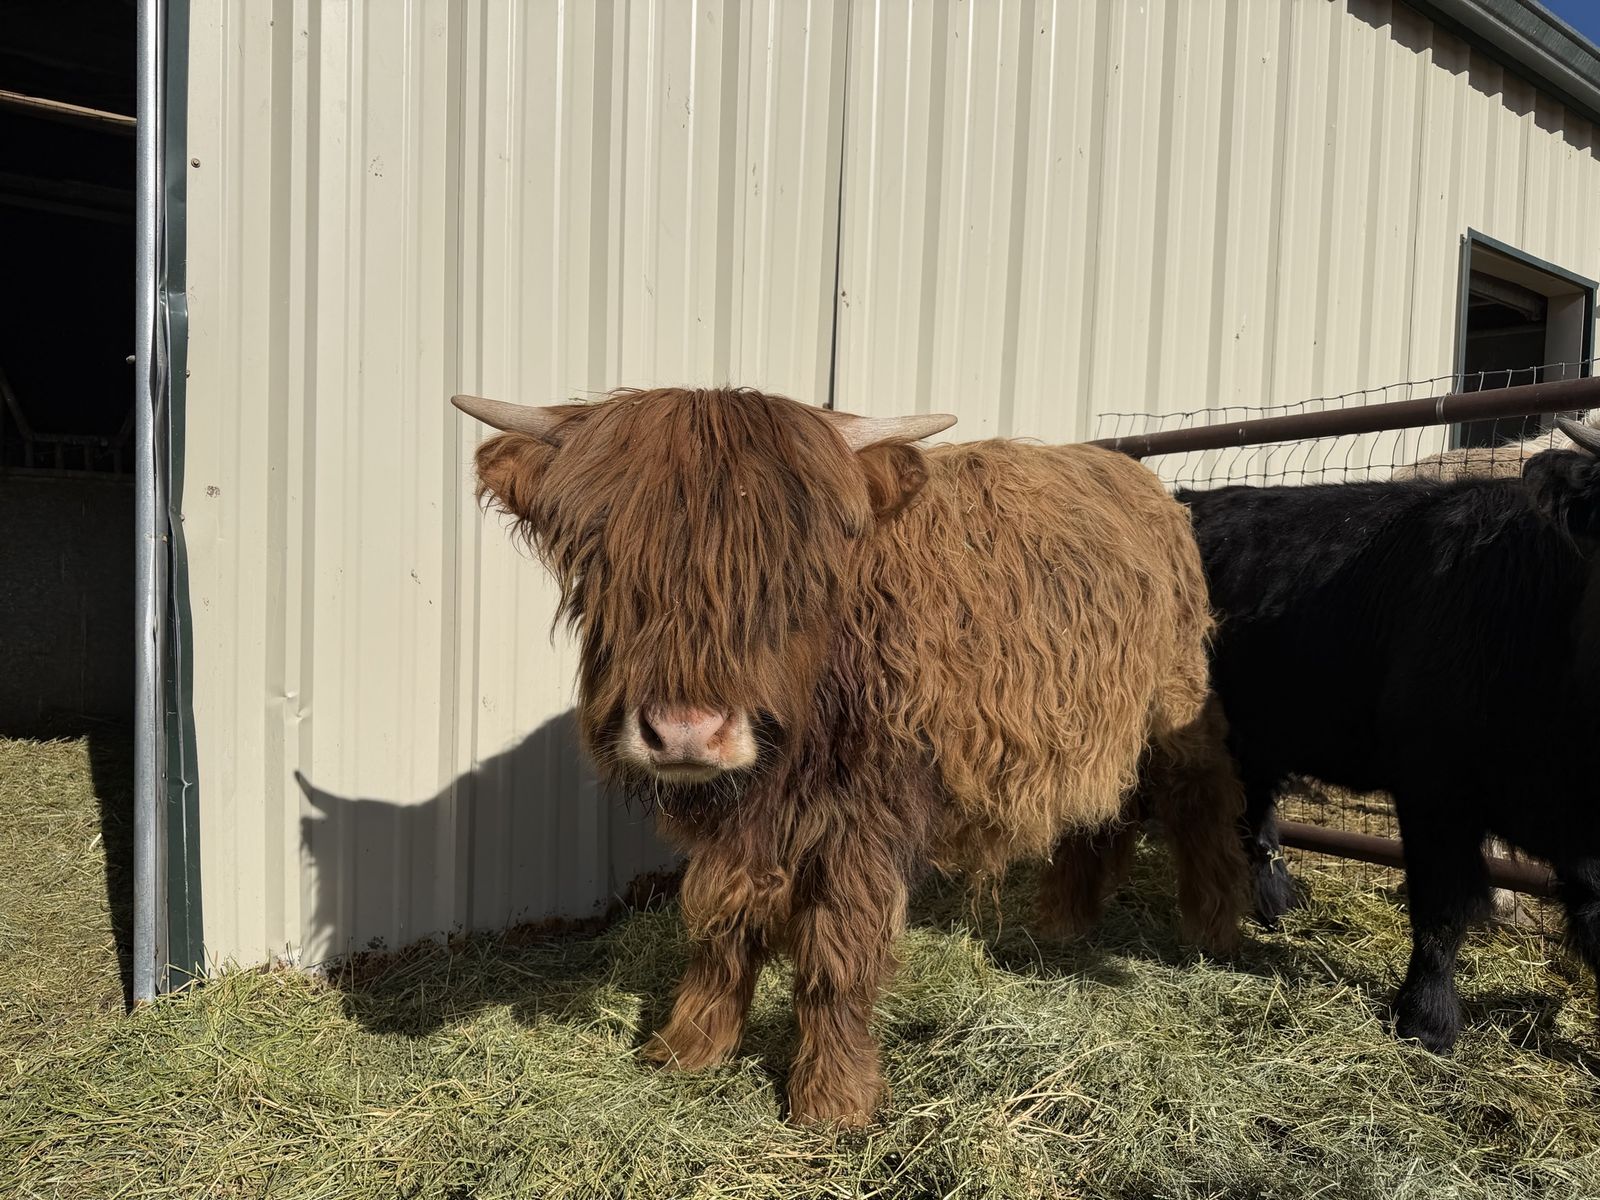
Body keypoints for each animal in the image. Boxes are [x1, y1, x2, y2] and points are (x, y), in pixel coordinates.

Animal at [455, 385, 1247, 1127]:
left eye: (792, 573)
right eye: (603, 560)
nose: (685, 732)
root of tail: (1140, 481)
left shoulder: (866, 816)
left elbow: (837, 950)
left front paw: (832, 1101)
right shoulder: (740, 823)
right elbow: (721, 925)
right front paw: (689, 1049)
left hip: (1177, 699)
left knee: (1200, 797)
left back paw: (1212, 933)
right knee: (1100, 808)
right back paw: (1064, 923)